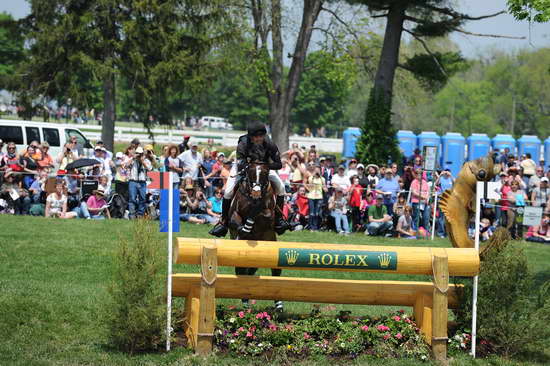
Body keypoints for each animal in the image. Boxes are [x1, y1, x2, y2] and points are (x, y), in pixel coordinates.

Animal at [229, 162, 284, 308]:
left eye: (265, 174)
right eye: (250, 172)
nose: (256, 192)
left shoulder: (269, 214)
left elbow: (264, 213)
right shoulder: (235, 214)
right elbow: (238, 221)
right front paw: (246, 228)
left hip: (269, 242)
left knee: (271, 270)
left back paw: (279, 304)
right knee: (241, 269)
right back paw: (245, 301)